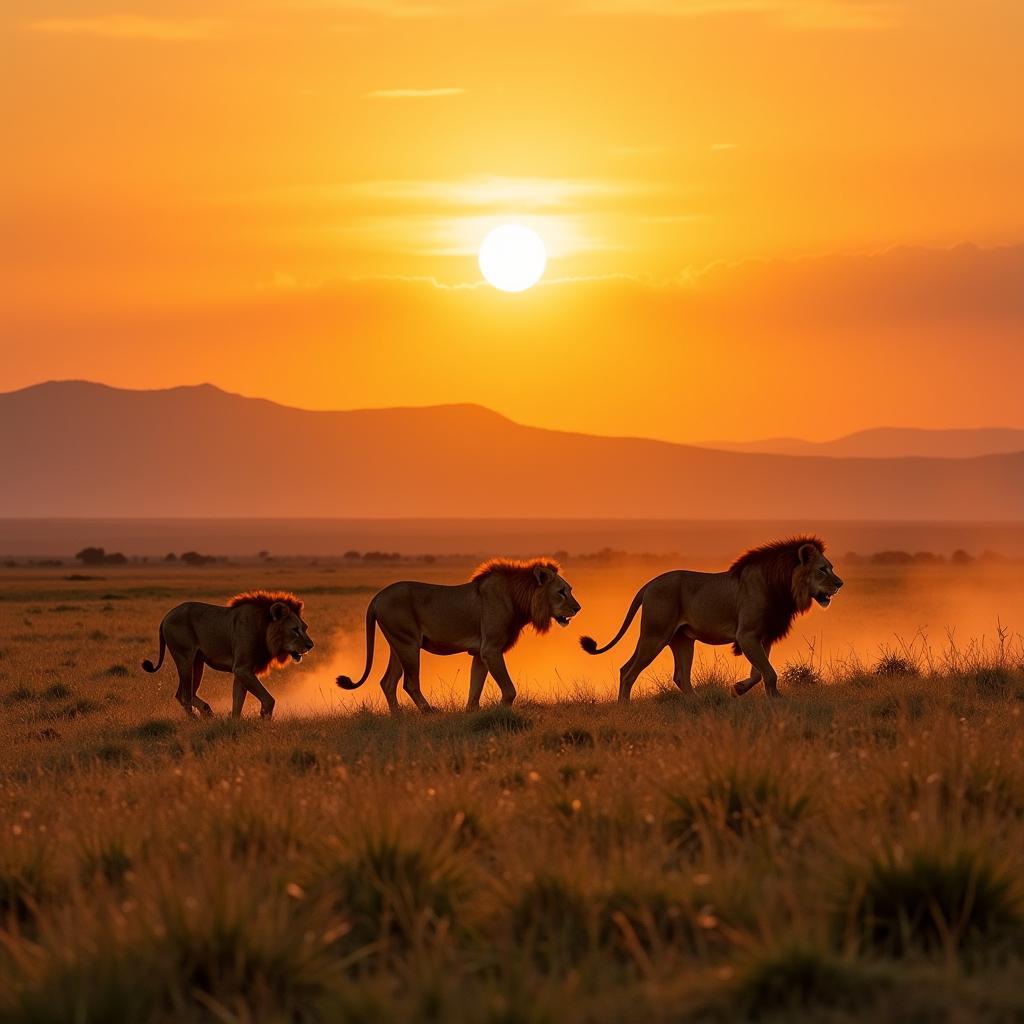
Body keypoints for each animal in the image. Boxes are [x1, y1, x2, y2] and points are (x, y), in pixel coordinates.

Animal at [140, 593, 313, 720]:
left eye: (305, 627)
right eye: (295, 630)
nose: (311, 645)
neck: (263, 630)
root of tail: (166, 616)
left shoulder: (244, 671)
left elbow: (238, 701)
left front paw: (234, 723)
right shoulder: (242, 668)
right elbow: (269, 699)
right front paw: (264, 717)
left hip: (197, 663)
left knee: (182, 694)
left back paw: (207, 712)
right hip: (184, 659)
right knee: (185, 696)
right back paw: (195, 720)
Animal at [333, 557, 577, 716]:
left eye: (570, 589)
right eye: (561, 592)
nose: (578, 608)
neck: (519, 599)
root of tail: (376, 598)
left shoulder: (481, 653)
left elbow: (475, 686)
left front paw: (472, 712)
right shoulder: (491, 649)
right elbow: (509, 689)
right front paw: (501, 711)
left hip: (398, 644)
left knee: (388, 682)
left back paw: (398, 716)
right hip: (408, 644)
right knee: (409, 683)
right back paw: (429, 711)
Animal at [581, 540, 843, 700]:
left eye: (831, 567)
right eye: (822, 569)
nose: (840, 583)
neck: (784, 586)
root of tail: (648, 584)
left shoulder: (762, 637)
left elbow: (759, 672)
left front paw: (738, 689)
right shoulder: (746, 635)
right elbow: (769, 673)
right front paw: (776, 700)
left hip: (681, 640)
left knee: (676, 676)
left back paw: (698, 703)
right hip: (655, 635)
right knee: (629, 672)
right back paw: (624, 707)